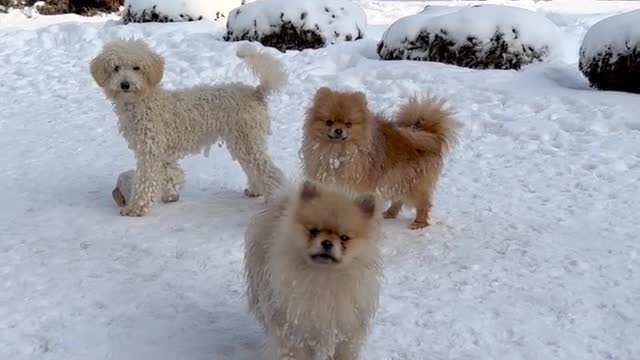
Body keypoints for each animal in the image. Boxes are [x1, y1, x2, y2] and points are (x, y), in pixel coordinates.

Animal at [91, 38, 286, 217]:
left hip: (247, 140)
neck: (144, 101)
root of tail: (256, 92)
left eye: (136, 68)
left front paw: (135, 208)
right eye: (116, 68)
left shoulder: (150, 150)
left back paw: (276, 199)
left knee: (270, 171)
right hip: (243, 142)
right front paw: (170, 196)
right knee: (254, 169)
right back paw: (255, 191)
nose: (125, 84)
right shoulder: (163, 152)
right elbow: (171, 174)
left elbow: (146, 181)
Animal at [244, 180, 384, 360]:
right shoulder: (295, 332)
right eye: (313, 231)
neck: (323, 276)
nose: (327, 243)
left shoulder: (343, 333)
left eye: (344, 238)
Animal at [300, 87, 456, 229]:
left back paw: (419, 222)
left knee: (423, 202)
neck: (337, 152)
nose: (338, 131)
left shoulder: (355, 184)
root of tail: (428, 132)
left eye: (348, 124)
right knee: (399, 199)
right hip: (398, 178)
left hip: (412, 181)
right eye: (329, 122)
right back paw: (390, 212)